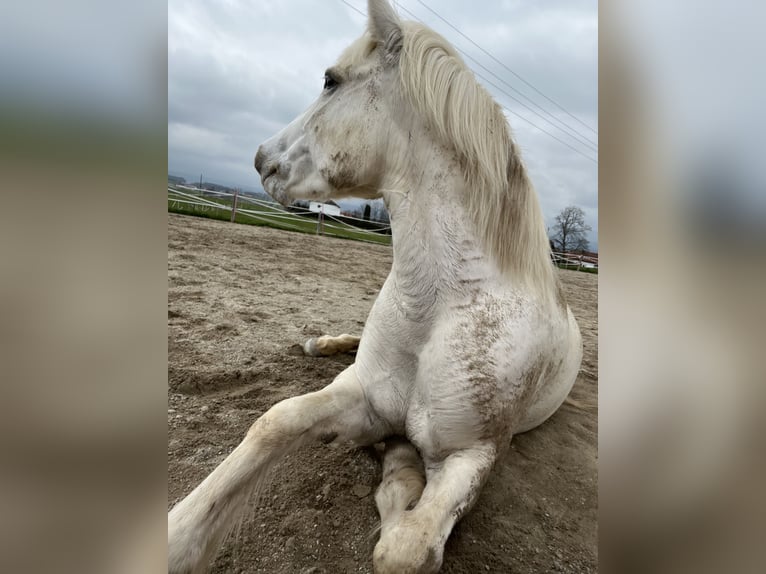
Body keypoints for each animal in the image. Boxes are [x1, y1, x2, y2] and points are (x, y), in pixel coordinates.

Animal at [171, 2, 584, 572]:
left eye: (330, 80)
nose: (260, 158)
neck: (439, 307)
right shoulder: (361, 396)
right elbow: (276, 421)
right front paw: (176, 536)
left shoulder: (472, 454)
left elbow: (401, 548)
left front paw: (399, 474)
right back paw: (320, 343)